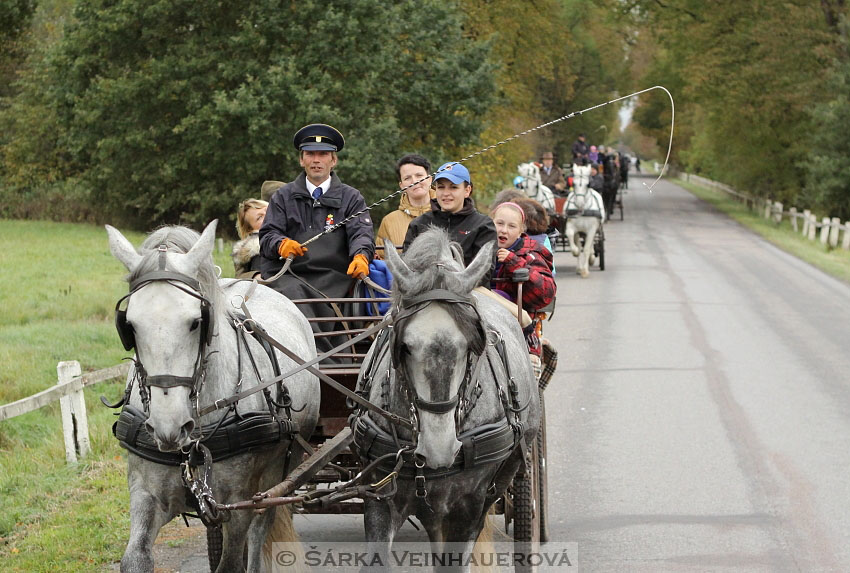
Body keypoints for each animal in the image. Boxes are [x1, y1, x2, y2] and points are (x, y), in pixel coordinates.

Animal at [106, 220, 318, 572]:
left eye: (196, 322)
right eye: (130, 325)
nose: (169, 426)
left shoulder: (238, 502)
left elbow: (231, 562)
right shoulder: (146, 491)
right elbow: (135, 559)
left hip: (277, 473)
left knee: (260, 531)